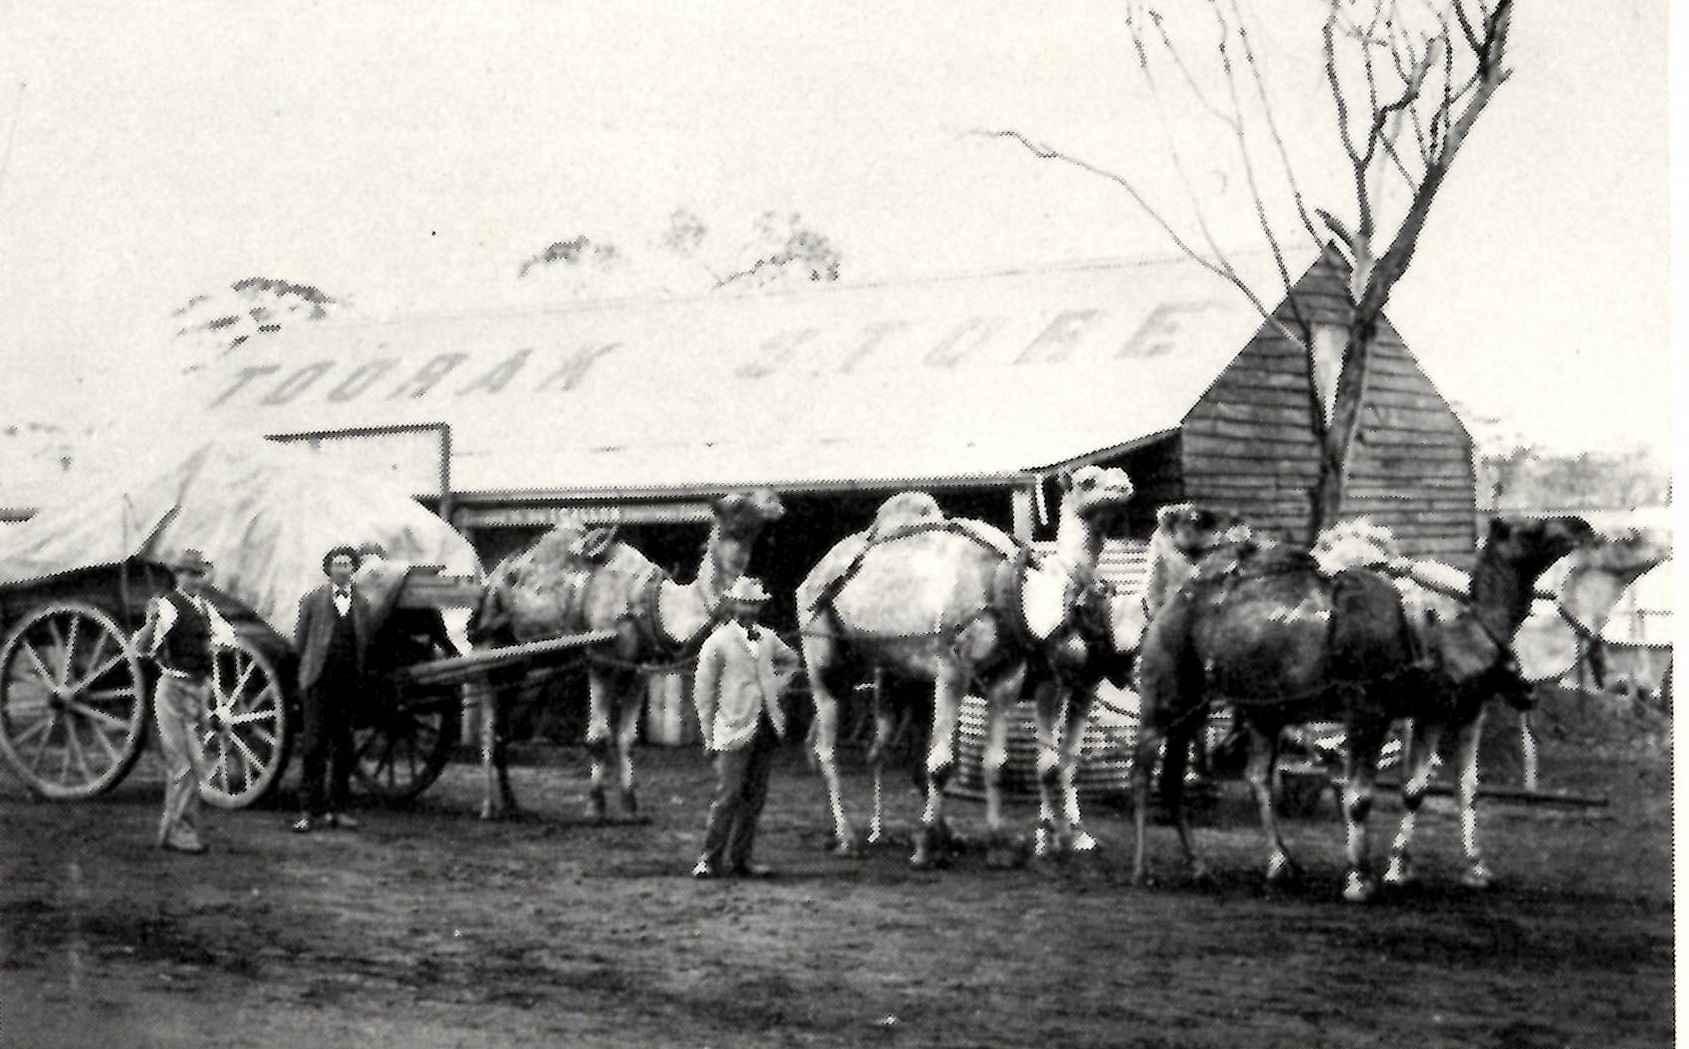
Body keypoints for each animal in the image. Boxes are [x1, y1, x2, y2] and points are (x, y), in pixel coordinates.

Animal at [472, 486, 787, 820]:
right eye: (738, 502)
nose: (775, 500)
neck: (651, 602)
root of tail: (494, 578)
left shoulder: (639, 668)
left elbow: (627, 738)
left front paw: (632, 808)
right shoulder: (601, 661)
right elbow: (598, 737)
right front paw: (595, 807)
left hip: (526, 667)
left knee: (502, 730)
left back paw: (511, 805)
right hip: (488, 649)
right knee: (489, 729)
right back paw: (488, 807)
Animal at [1128, 516, 1601, 898]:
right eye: (1531, 529)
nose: (1581, 526)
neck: (1455, 634)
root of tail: (1172, 600)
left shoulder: (1445, 711)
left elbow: (1437, 789)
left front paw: (1456, 871)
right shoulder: (1367, 711)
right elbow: (1359, 797)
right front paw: (1360, 880)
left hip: (1250, 710)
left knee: (1238, 777)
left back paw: (1247, 867)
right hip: (1166, 695)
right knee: (1144, 770)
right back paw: (1144, 869)